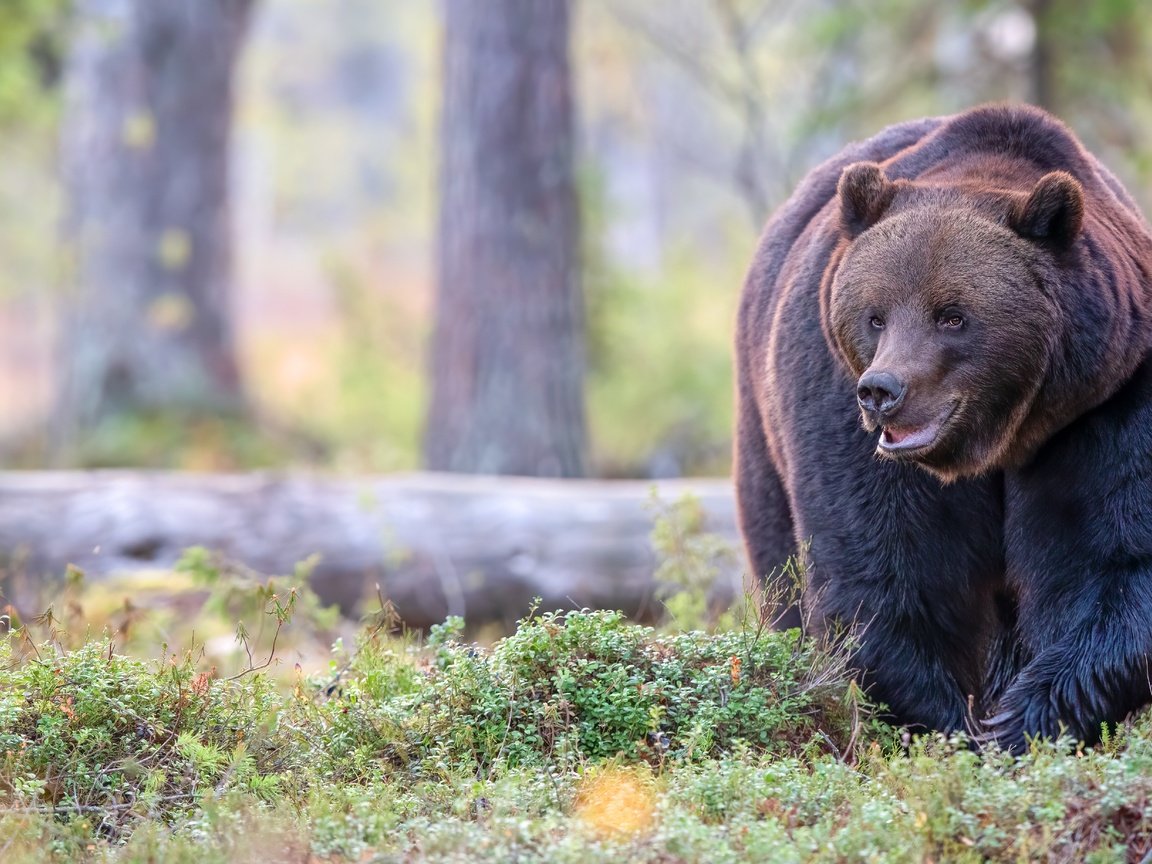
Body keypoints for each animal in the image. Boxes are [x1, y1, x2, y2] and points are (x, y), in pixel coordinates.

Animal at [732, 103, 1152, 751]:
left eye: (952, 316)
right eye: (875, 315)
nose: (882, 392)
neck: (1002, 437)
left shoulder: (1104, 403)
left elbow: (1112, 559)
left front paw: (1019, 720)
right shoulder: (835, 402)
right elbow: (885, 573)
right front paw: (951, 726)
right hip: (763, 423)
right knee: (782, 563)